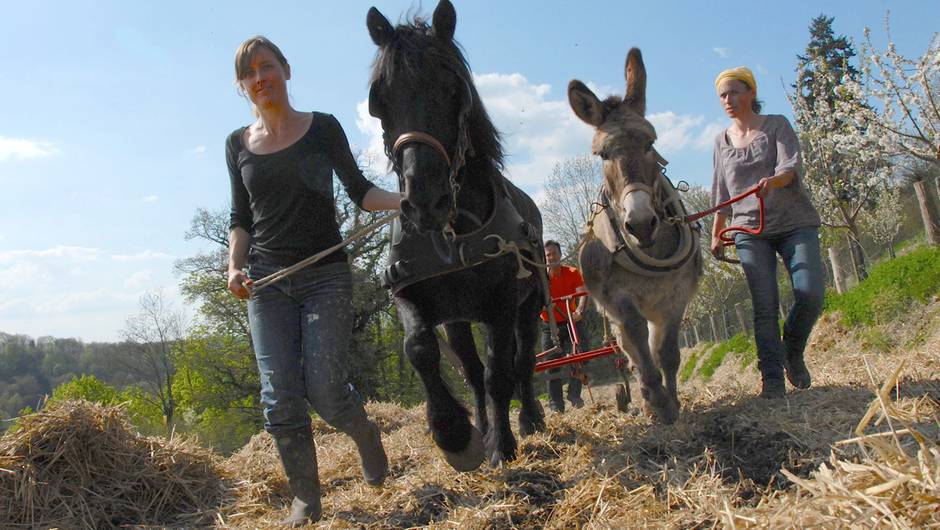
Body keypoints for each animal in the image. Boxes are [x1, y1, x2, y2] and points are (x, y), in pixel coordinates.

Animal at [366, 0, 548, 466]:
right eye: (380, 100)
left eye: (454, 90)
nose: (424, 201)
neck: (451, 231)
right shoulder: (409, 292)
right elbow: (420, 350)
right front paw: (455, 434)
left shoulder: (503, 304)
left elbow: (502, 372)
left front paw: (503, 445)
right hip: (459, 319)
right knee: (471, 370)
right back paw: (483, 427)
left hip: (528, 306)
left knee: (522, 362)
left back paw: (529, 421)